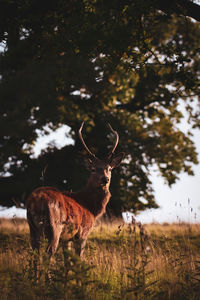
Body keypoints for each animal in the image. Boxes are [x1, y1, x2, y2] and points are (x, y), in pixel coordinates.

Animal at [26, 121, 123, 260]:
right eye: (93, 169)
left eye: (109, 169)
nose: (105, 179)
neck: (90, 208)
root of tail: (35, 201)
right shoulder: (82, 233)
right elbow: (79, 258)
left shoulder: (67, 239)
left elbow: (68, 259)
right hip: (54, 226)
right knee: (49, 252)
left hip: (32, 227)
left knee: (34, 254)